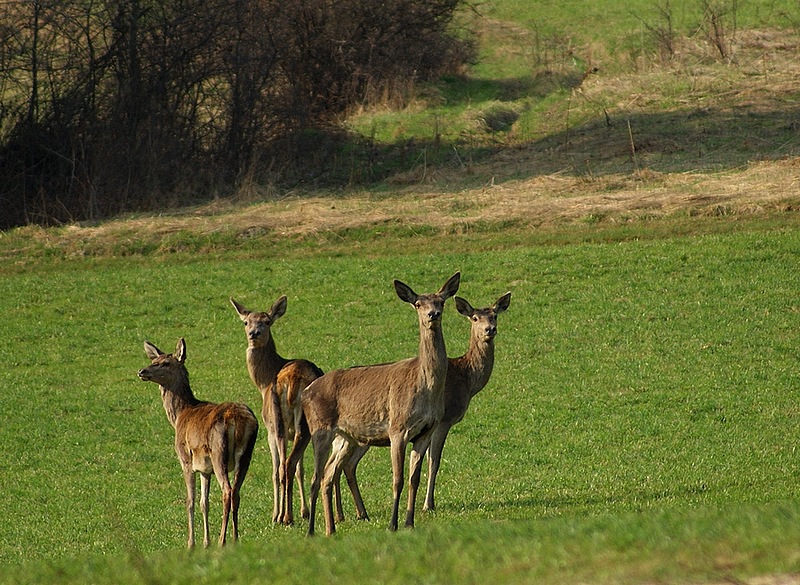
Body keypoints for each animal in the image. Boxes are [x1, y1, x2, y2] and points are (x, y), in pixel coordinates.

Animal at [136, 338, 258, 548]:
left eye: (165, 363)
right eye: (153, 360)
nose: (142, 371)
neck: (179, 415)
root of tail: (238, 420)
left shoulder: (186, 460)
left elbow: (190, 501)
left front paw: (191, 543)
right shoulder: (205, 468)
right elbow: (204, 503)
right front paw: (205, 542)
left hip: (219, 453)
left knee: (227, 491)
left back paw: (222, 540)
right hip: (246, 455)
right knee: (236, 491)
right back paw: (235, 539)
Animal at [230, 296, 324, 524]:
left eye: (266, 321)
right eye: (246, 322)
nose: (254, 333)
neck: (263, 382)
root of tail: (292, 379)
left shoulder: (269, 429)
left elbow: (284, 469)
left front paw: (287, 512)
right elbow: (298, 469)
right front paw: (302, 511)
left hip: (279, 423)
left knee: (284, 466)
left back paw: (284, 516)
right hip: (292, 425)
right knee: (287, 465)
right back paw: (286, 516)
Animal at [288, 270, 462, 532]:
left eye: (441, 301)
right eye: (418, 303)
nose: (433, 314)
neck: (426, 388)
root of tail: (306, 392)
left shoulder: (425, 432)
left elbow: (414, 479)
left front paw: (410, 523)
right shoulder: (397, 428)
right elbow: (397, 480)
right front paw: (393, 524)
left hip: (346, 437)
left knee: (328, 474)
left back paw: (331, 529)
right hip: (320, 428)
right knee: (315, 477)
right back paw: (311, 531)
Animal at [332, 292, 512, 520]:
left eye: (494, 315)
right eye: (475, 318)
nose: (490, 329)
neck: (467, 380)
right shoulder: (444, 420)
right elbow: (434, 460)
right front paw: (428, 504)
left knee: (343, 465)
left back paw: (353, 513)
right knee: (342, 464)